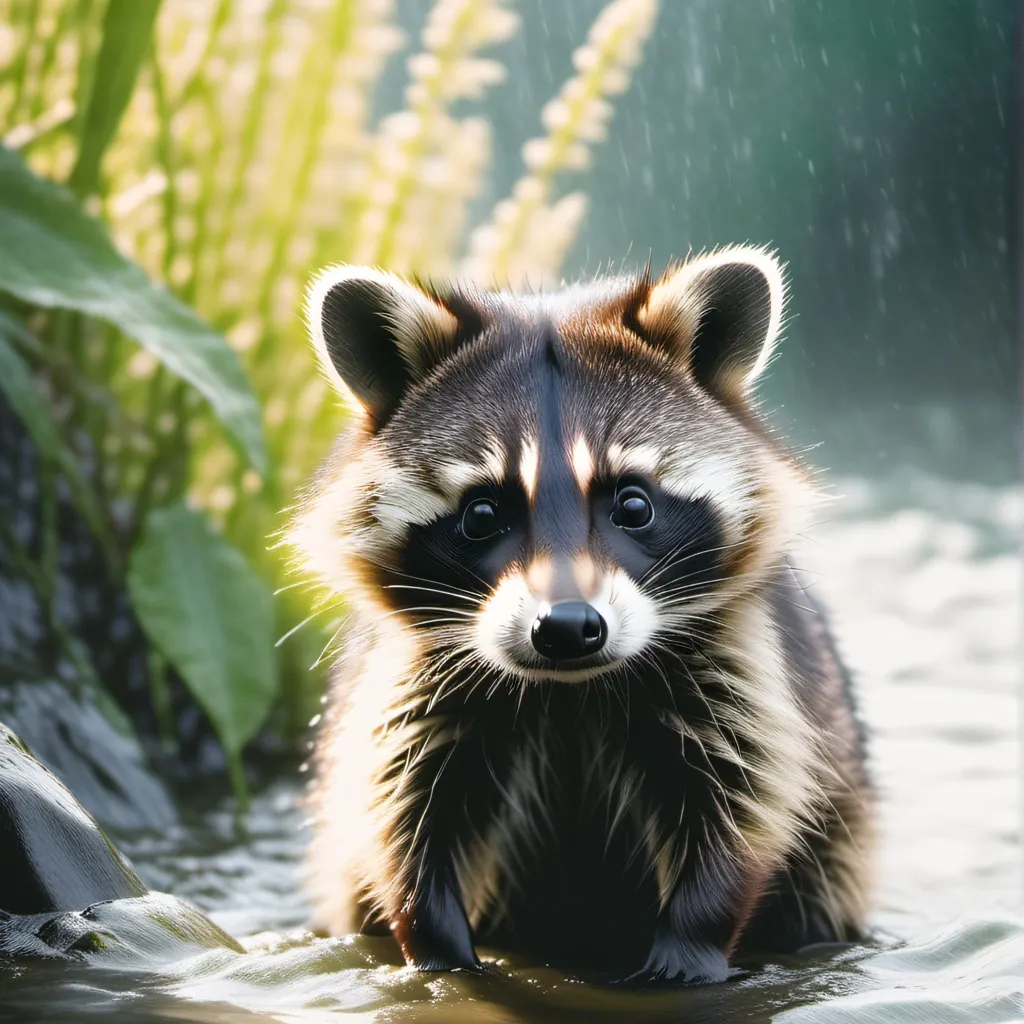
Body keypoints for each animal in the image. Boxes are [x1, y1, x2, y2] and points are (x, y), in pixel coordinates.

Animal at [288, 246, 875, 985]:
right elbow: (398, 804)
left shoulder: (741, 659)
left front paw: (691, 943)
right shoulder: (412, 679)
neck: (569, 693)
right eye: (482, 512)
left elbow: (747, 792)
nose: (567, 627)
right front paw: (432, 938)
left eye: (633, 504)